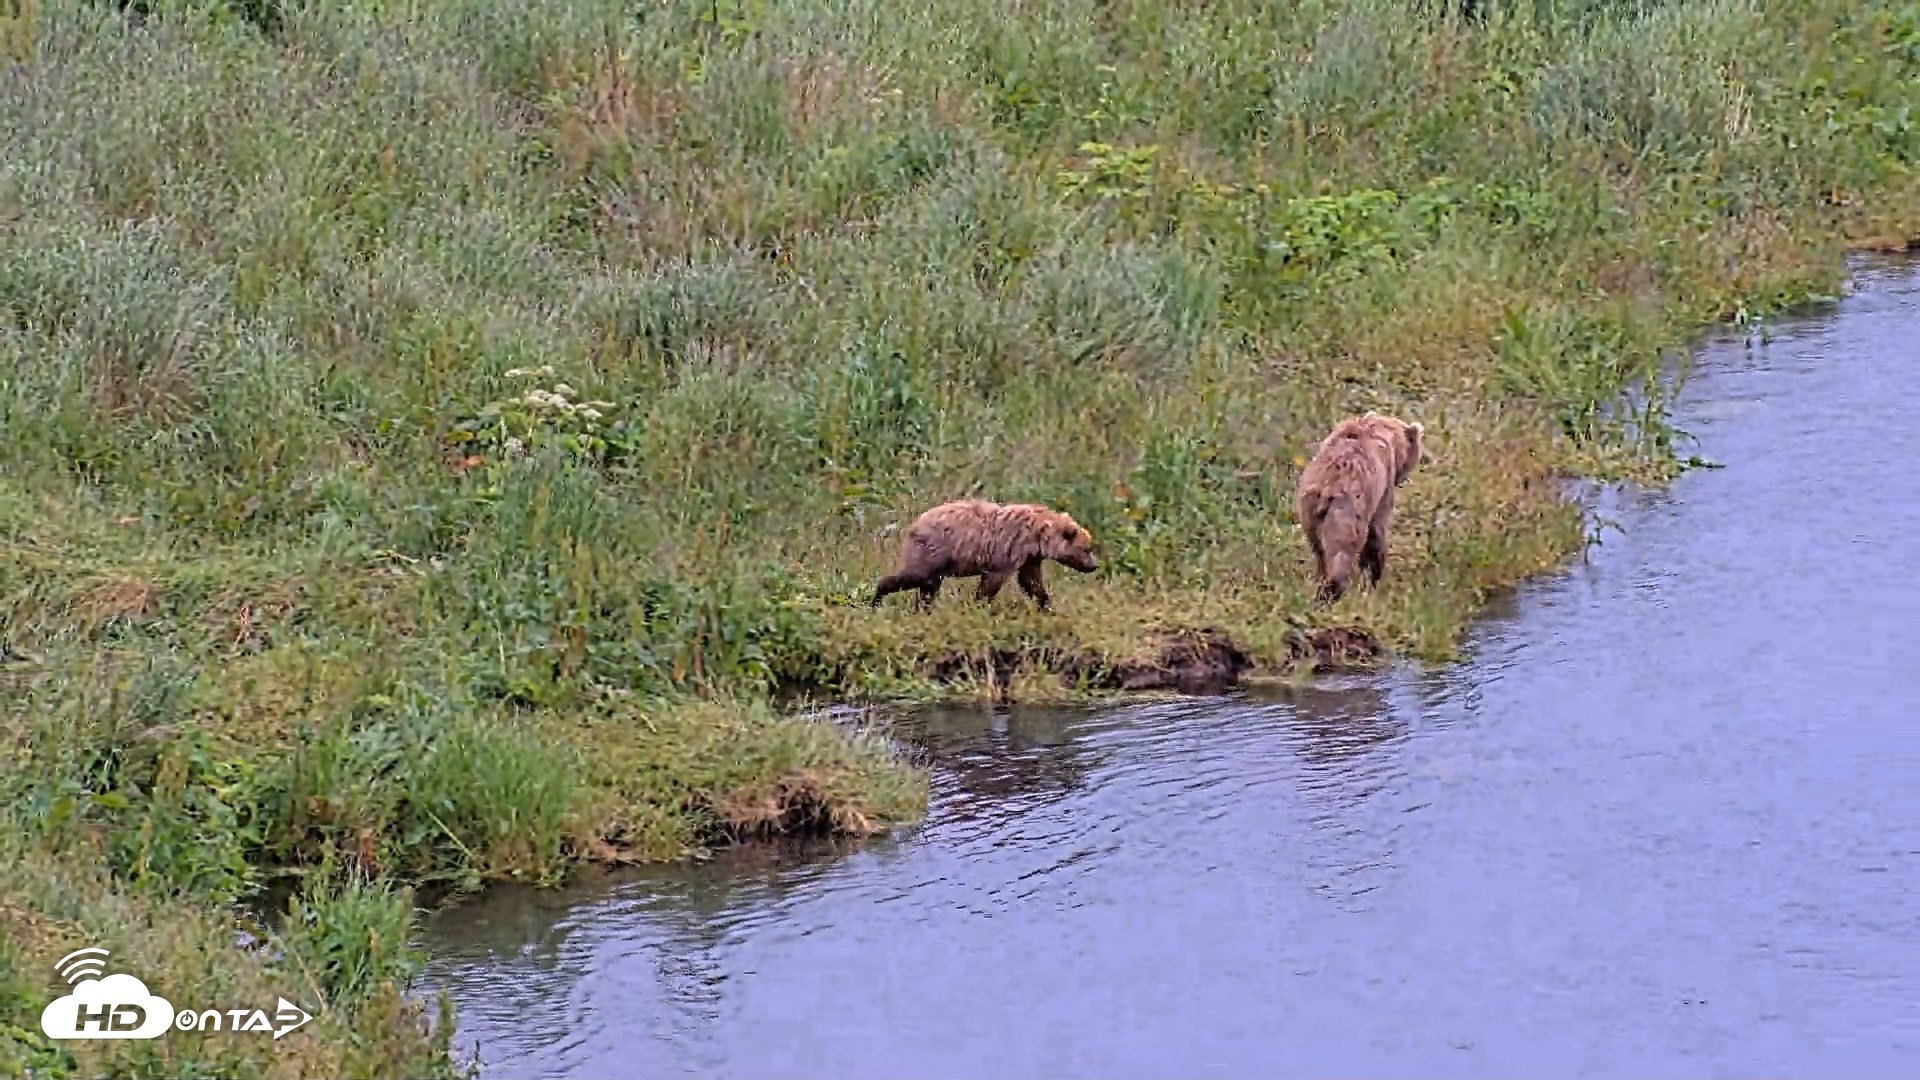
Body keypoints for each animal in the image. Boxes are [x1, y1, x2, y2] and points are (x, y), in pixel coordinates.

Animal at [869, 499, 1099, 612]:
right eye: (1086, 549)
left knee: (929, 586)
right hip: (932, 551)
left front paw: (1046, 603)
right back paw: (877, 599)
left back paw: (923, 608)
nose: (1094, 566)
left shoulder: (1029, 557)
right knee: (915, 576)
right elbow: (993, 581)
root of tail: (914, 524)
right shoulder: (1007, 551)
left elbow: (1031, 581)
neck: (1038, 536)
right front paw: (980, 604)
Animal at [1294, 410, 1424, 604]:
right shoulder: (1383, 484)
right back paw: (1332, 590)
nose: (1403, 478)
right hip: (1347, 510)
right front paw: (1372, 577)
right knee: (1342, 551)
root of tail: (1327, 488)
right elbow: (1377, 531)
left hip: (1309, 510)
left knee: (1319, 551)